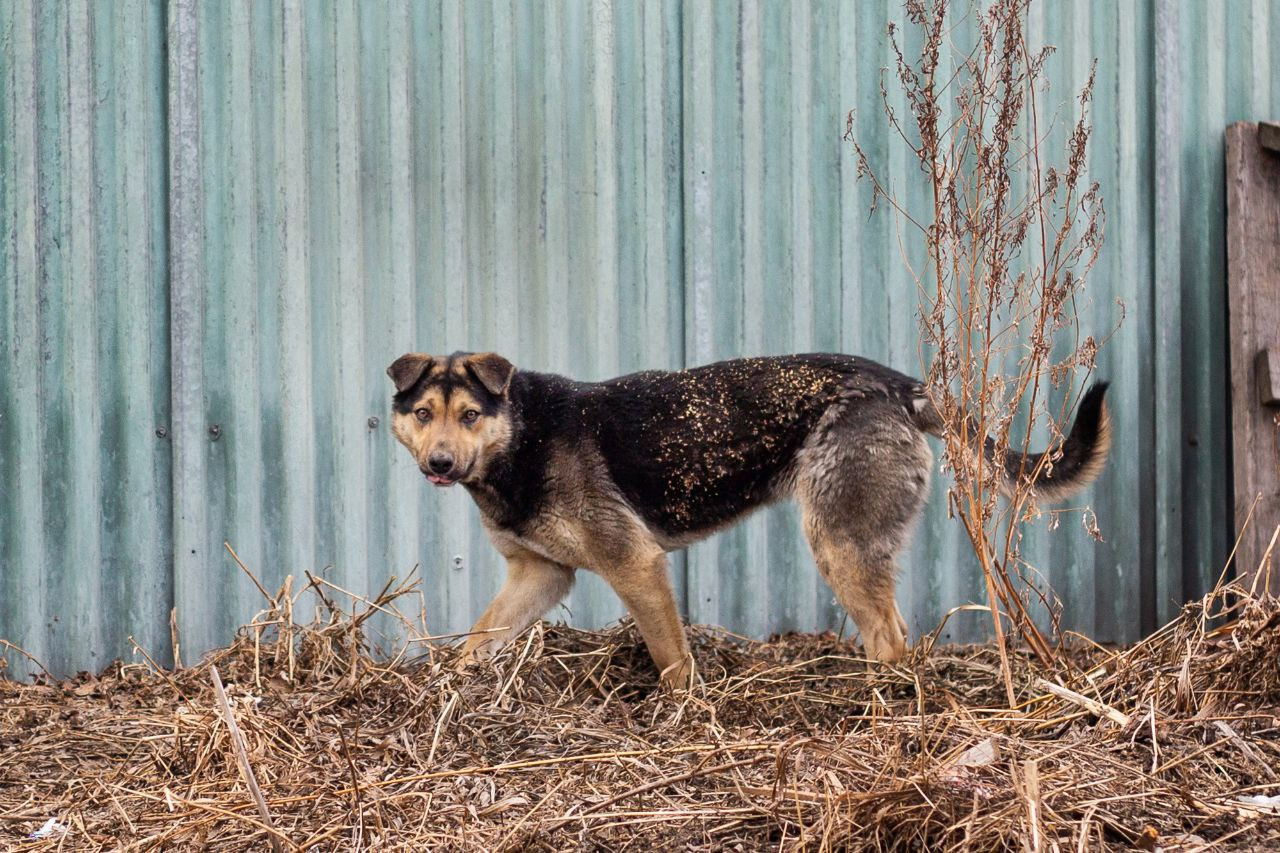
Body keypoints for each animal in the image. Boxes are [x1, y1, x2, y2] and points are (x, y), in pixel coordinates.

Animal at [386, 348, 1111, 686]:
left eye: (470, 415)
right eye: (423, 414)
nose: (441, 463)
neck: (521, 434)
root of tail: (900, 383)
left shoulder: (635, 563)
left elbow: (673, 660)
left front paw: (685, 718)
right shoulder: (539, 575)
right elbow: (479, 638)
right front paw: (445, 691)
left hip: (837, 542)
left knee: (891, 638)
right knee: (897, 634)